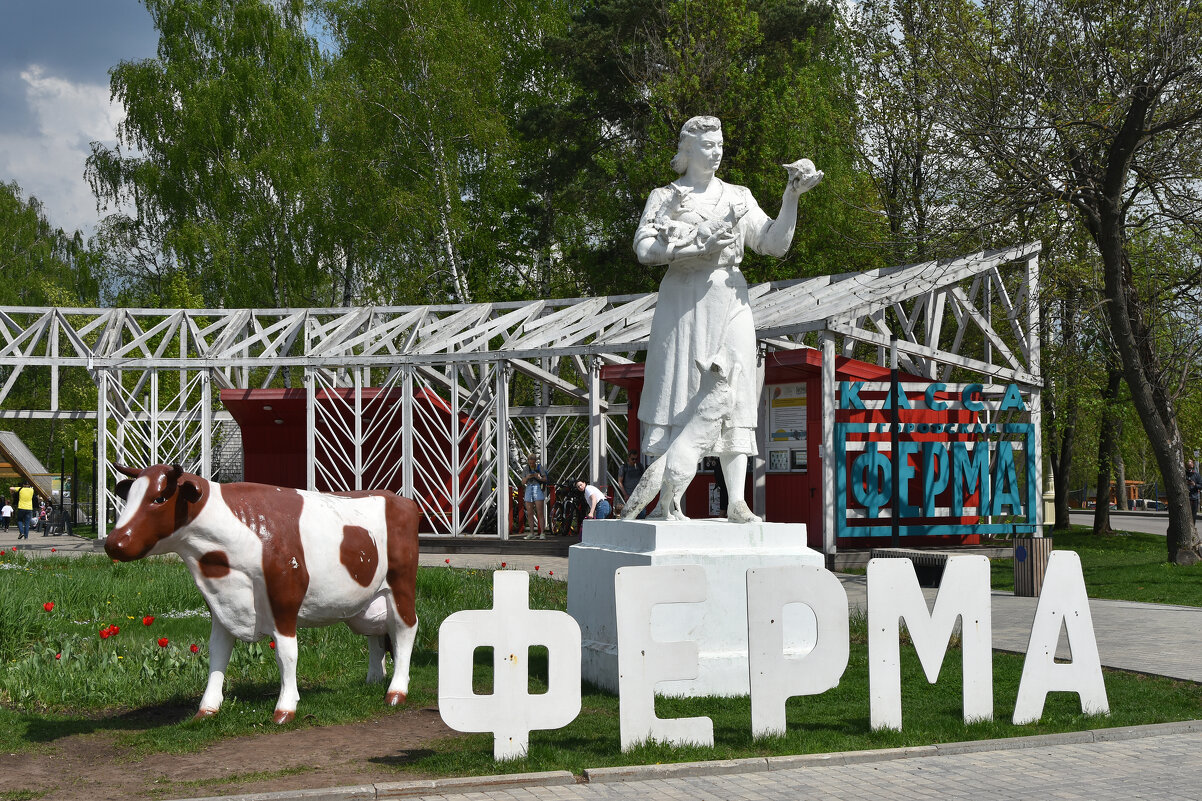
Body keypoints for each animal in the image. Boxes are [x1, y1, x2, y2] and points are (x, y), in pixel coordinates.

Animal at [104, 461, 423, 716]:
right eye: (128, 497)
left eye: (159, 498)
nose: (113, 543)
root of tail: (400, 500)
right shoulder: (220, 604)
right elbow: (217, 652)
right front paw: (207, 708)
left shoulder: (285, 595)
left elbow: (286, 653)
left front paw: (285, 707)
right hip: (367, 599)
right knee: (376, 635)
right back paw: (374, 680)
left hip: (401, 582)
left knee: (405, 627)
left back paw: (396, 691)